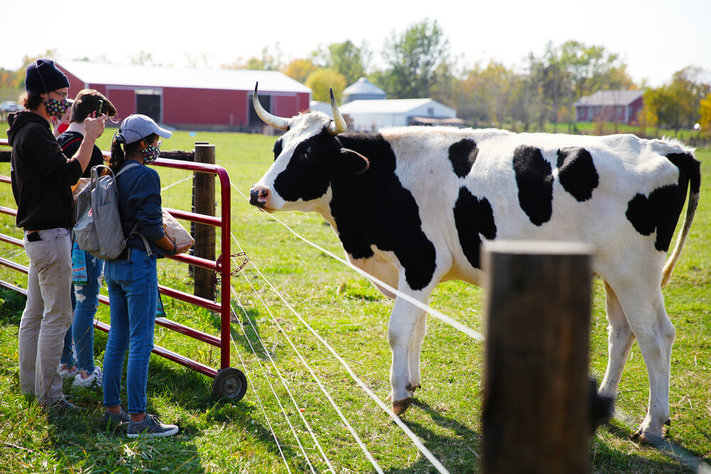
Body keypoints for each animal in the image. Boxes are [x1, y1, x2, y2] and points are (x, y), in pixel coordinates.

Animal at [249, 85, 700, 444]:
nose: (257, 192)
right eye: (278, 148)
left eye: (308, 153)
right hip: (613, 274)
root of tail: (665, 147)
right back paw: (605, 402)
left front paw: (398, 398)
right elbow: (418, 328)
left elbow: (399, 330)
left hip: (635, 273)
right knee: (622, 332)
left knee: (655, 336)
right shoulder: (407, 272)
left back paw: (653, 425)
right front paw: (412, 383)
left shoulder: (421, 262)